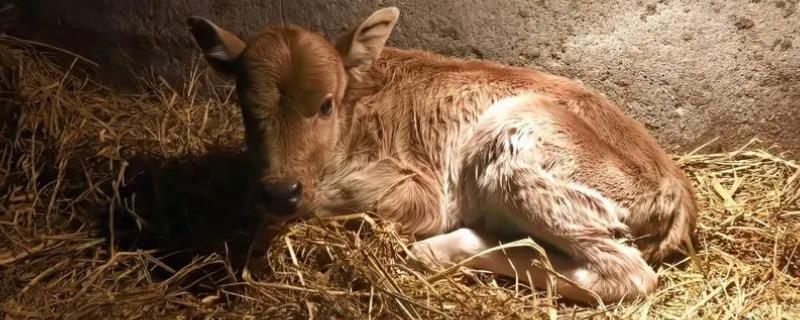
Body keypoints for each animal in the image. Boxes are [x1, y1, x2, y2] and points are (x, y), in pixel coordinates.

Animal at [188, 6, 692, 304]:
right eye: (244, 104)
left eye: (326, 103)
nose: (280, 191)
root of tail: (678, 189)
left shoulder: (419, 192)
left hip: (517, 154)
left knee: (627, 273)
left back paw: (441, 249)